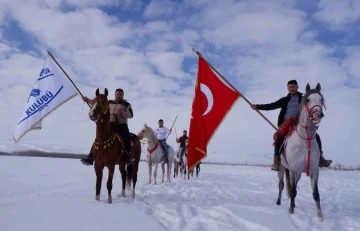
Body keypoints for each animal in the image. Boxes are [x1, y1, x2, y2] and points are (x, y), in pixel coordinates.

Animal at [276, 83, 326, 222]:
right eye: (308, 100)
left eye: (321, 99)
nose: (317, 114)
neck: (306, 140)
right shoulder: (294, 169)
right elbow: (292, 191)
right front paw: (291, 210)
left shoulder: (314, 170)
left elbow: (316, 194)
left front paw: (320, 216)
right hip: (283, 169)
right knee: (281, 185)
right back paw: (278, 202)